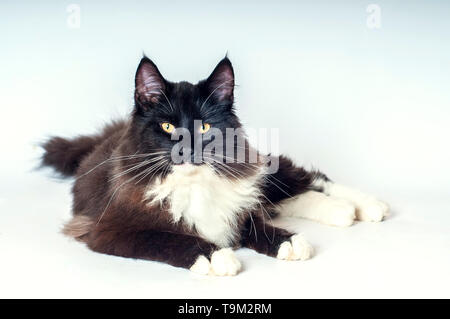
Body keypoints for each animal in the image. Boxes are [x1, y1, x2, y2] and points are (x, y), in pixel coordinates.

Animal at [40, 57, 388, 278]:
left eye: (204, 127)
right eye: (167, 126)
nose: (187, 148)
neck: (194, 185)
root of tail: (104, 136)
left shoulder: (235, 205)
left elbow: (256, 225)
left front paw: (288, 242)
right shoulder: (108, 229)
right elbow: (165, 238)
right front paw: (216, 256)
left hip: (259, 166)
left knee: (309, 180)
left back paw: (369, 206)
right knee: (287, 199)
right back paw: (343, 212)